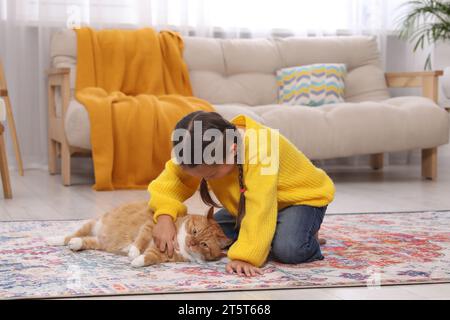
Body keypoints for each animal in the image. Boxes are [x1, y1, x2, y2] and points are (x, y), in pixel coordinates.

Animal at [47, 201, 230, 266]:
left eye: (204, 244)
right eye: (194, 231)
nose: (191, 243)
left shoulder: (163, 255)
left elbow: (149, 257)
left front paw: (137, 261)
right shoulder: (150, 227)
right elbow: (141, 240)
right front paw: (133, 252)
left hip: (99, 243)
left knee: (84, 241)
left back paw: (76, 244)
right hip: (93, 224)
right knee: (71, 235)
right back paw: (53, 239)